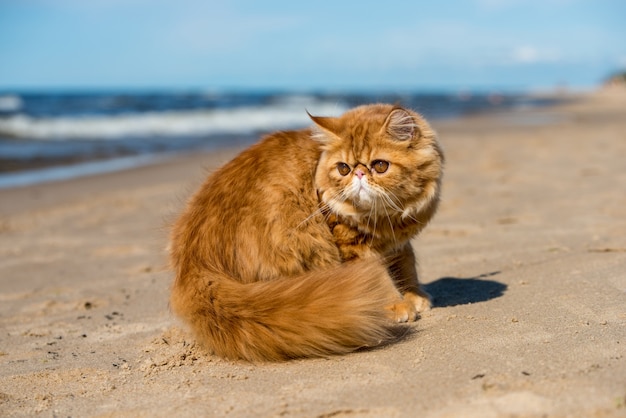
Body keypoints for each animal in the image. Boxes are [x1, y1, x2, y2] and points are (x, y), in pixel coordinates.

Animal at [169, 103, 444, 360]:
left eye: (380, 165)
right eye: (343, 168)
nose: (359, 173)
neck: (385, 218)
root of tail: (194, 264)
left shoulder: (397, 244)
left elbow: (407, 266)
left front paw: (415, 296)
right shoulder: (354, 245)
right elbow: (382, 277)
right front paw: (399, 305)